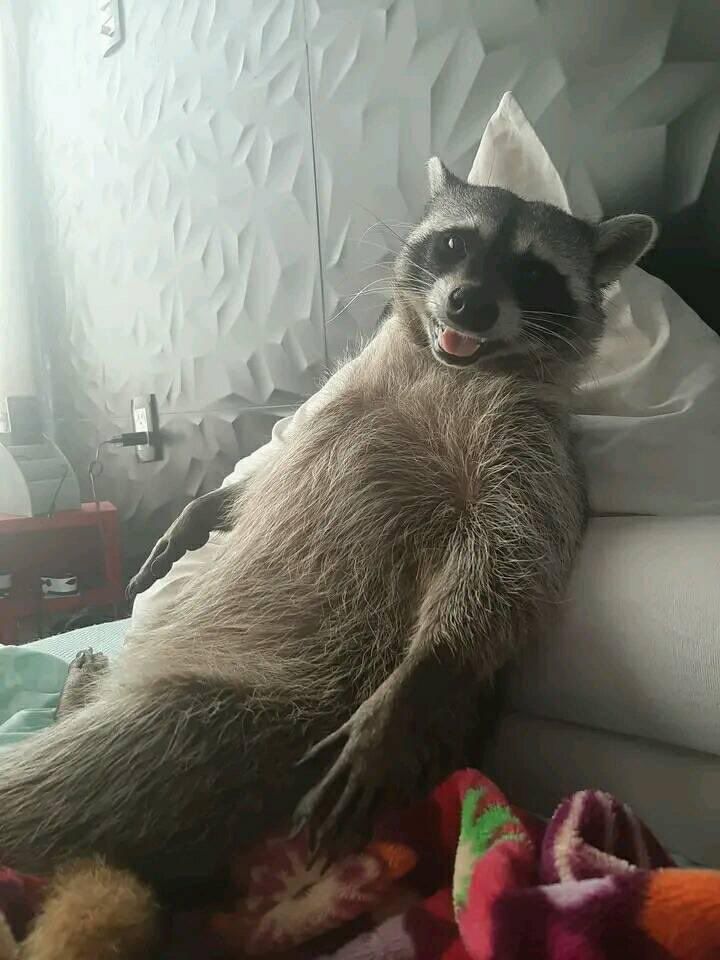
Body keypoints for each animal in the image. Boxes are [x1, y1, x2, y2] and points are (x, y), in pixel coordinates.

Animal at [0, 160, 656, 905]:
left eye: (532, 270)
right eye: (455, 244)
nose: (468, 306)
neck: (448, 366)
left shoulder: (536, 453)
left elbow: (512, 560)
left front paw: (422, 673)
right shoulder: (338, 396)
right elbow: (268, 465)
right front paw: (207, 506)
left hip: (222, 729)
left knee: (65, 781)